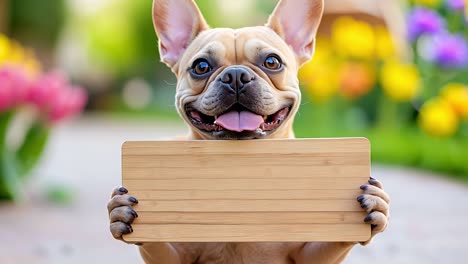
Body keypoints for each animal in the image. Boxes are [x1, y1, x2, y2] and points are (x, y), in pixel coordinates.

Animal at [108, 0, 390, 262]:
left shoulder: (309, 255)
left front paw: (375, 203)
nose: (235, 75)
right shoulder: (176, 255)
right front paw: (120, 210)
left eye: (272, 62)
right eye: (201, 66)